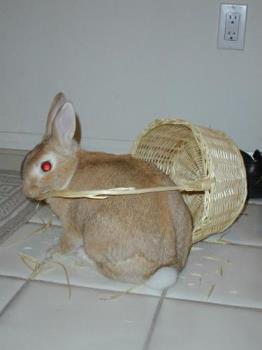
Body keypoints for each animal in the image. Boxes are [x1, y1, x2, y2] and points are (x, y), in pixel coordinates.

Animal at [21, 92, 191, 288]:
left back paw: (83, 257)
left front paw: (52, 251)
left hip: (95, 234)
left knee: (108, 270)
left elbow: (68, 242)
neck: (71, 172)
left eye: (46, 166)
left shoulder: (72, 226)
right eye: (26, 158)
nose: (27, 192)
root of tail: (167, 264)